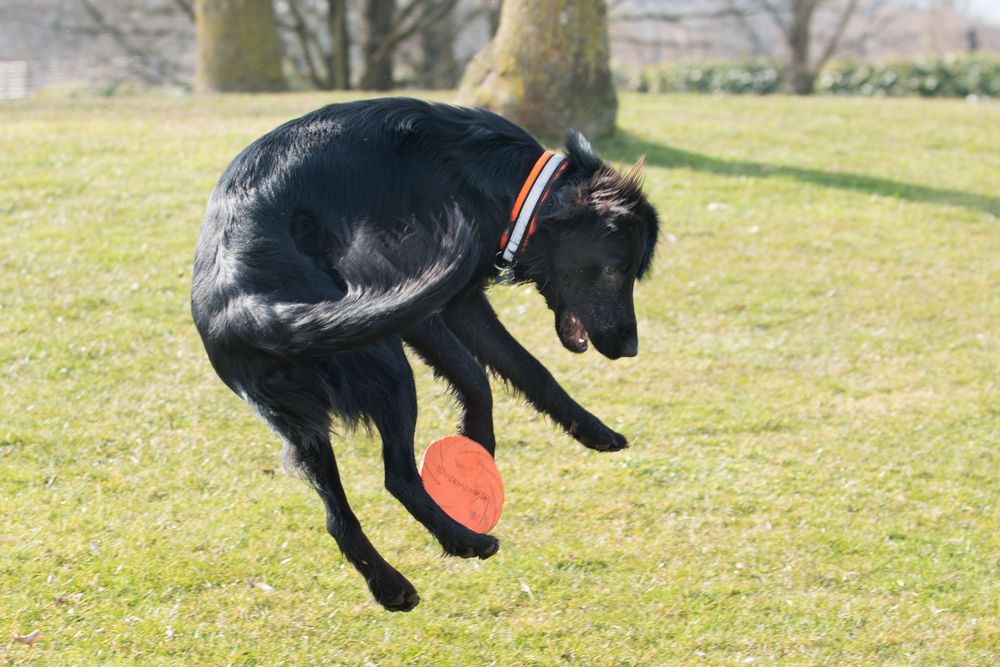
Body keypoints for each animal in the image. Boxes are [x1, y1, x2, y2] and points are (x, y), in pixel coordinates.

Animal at [191, 96, 660, 612]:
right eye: (615, 269)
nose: (631, 347)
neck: (493, 177)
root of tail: (247, 300)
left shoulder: (461, 302)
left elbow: (527, 368)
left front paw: (592, 430)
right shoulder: (424, 305)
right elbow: (477, 376)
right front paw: (477, 447)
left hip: (306, 421)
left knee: (338, 517)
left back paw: (391, 585)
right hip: (390, 367)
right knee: (397, 476)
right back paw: (466, 542)